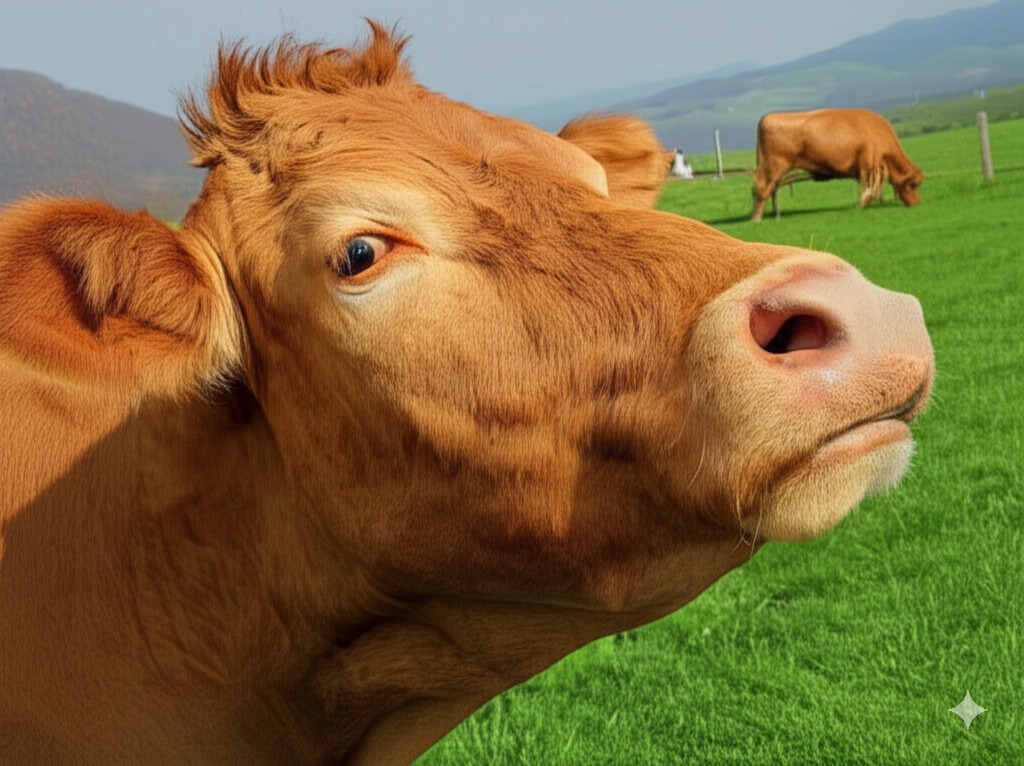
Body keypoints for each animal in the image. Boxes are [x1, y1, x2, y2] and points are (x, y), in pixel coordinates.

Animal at [751, 108, 924, 222]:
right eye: (913, 184)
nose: (917, 203)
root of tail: (766, 118)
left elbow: (874, 189)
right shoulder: (868, 166)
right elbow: (868, 189)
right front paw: (861, 205)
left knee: (769, 190)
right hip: (773, 167)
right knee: (762, 190)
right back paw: (756, 219)